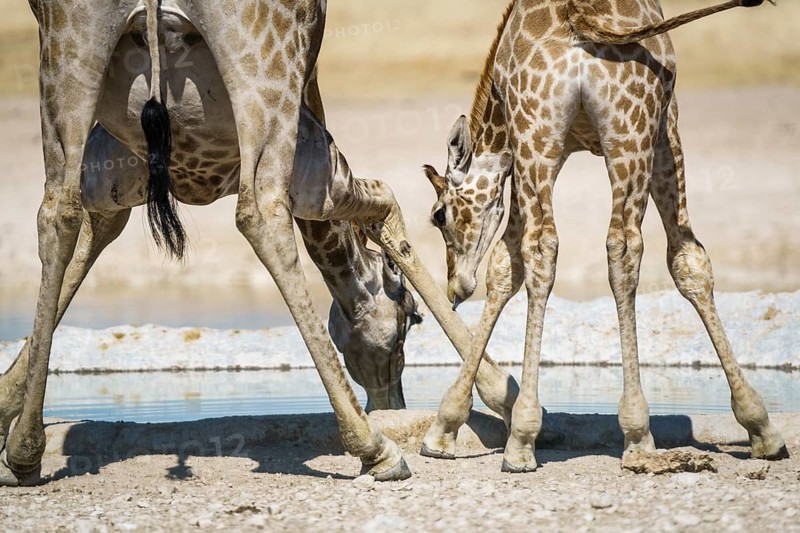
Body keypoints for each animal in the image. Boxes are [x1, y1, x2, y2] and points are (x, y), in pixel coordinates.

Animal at [0, 0, 522, 486]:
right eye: (409, 321)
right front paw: (499, 391)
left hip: (69, 54)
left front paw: (7, 408)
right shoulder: (316, 163)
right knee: (260, 215)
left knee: (55, 211)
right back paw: (376, 449)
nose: (390, 403)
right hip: (266, 78)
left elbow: (89, 234)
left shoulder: (113, 170)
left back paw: (24, 453)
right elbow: (387, 209)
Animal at [420, 0, 788, 472]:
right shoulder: (656, 124)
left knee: (565, 247)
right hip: (619, 132)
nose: (455, 288)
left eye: (439, 216)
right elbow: (688, 258)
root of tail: (579, 21)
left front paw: (446, 425)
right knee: (618, 245)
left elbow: (506, 266)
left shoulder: (531, 151)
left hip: (557, 133)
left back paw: (528, 440)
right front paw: (760, 426)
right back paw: (630, 434)